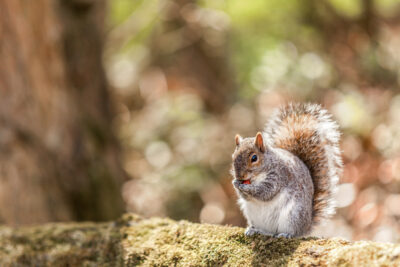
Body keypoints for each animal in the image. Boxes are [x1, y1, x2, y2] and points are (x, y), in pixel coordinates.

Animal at [233, 102, 342, 239]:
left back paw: (284, 234)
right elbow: (246, 196)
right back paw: (254, 230)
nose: (240, 176)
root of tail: (306, 227)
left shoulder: (279, 176)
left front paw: (245, 187)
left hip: (293, 215)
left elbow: (266, 192)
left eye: (254, 158)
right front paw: (235, 183)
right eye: (233, 156)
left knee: (282, 232)